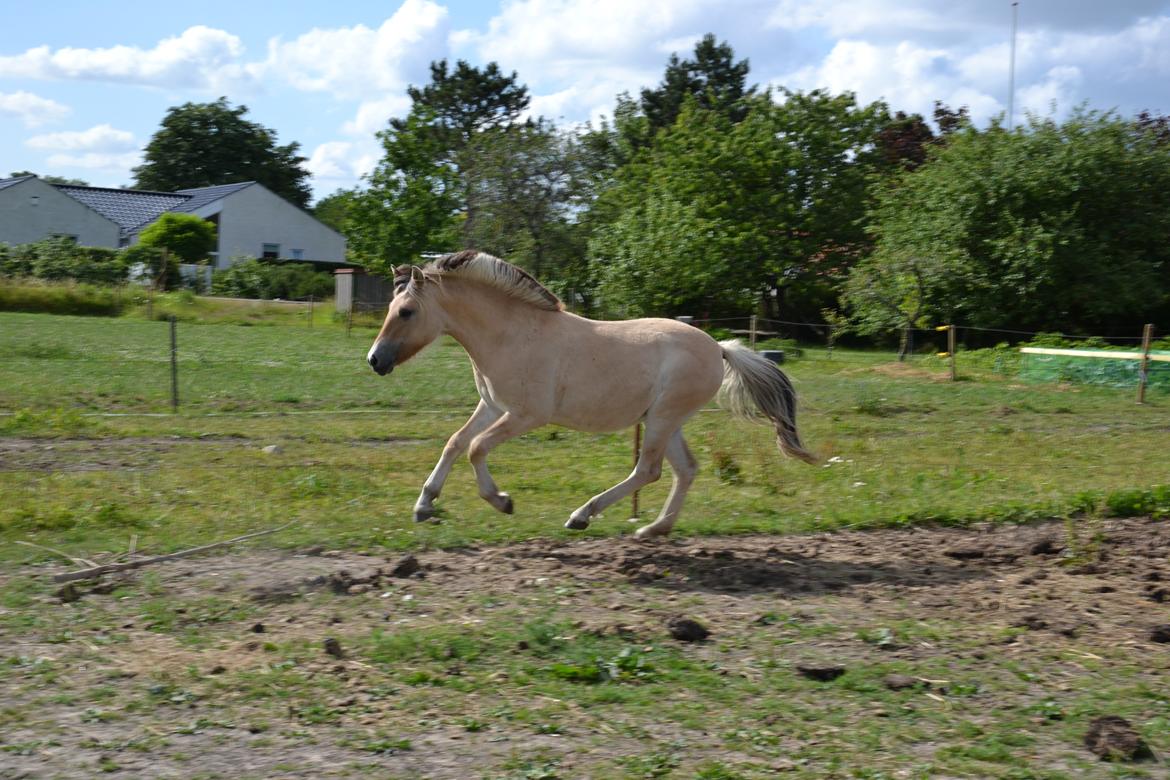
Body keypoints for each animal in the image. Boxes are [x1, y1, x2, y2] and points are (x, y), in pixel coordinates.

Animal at [365, 250, 814, 537]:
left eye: (406, 311)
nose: (374, 360)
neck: (512, 335)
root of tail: (719, 347)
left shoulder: (527, 415)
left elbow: (475, 448)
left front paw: (502, 501)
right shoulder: (492, 406)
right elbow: (455, 443)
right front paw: (424, 506)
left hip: (663, 418)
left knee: (648, 470)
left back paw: (582, 516)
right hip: (665, 421)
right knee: (684, 470)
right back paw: (653, 529)